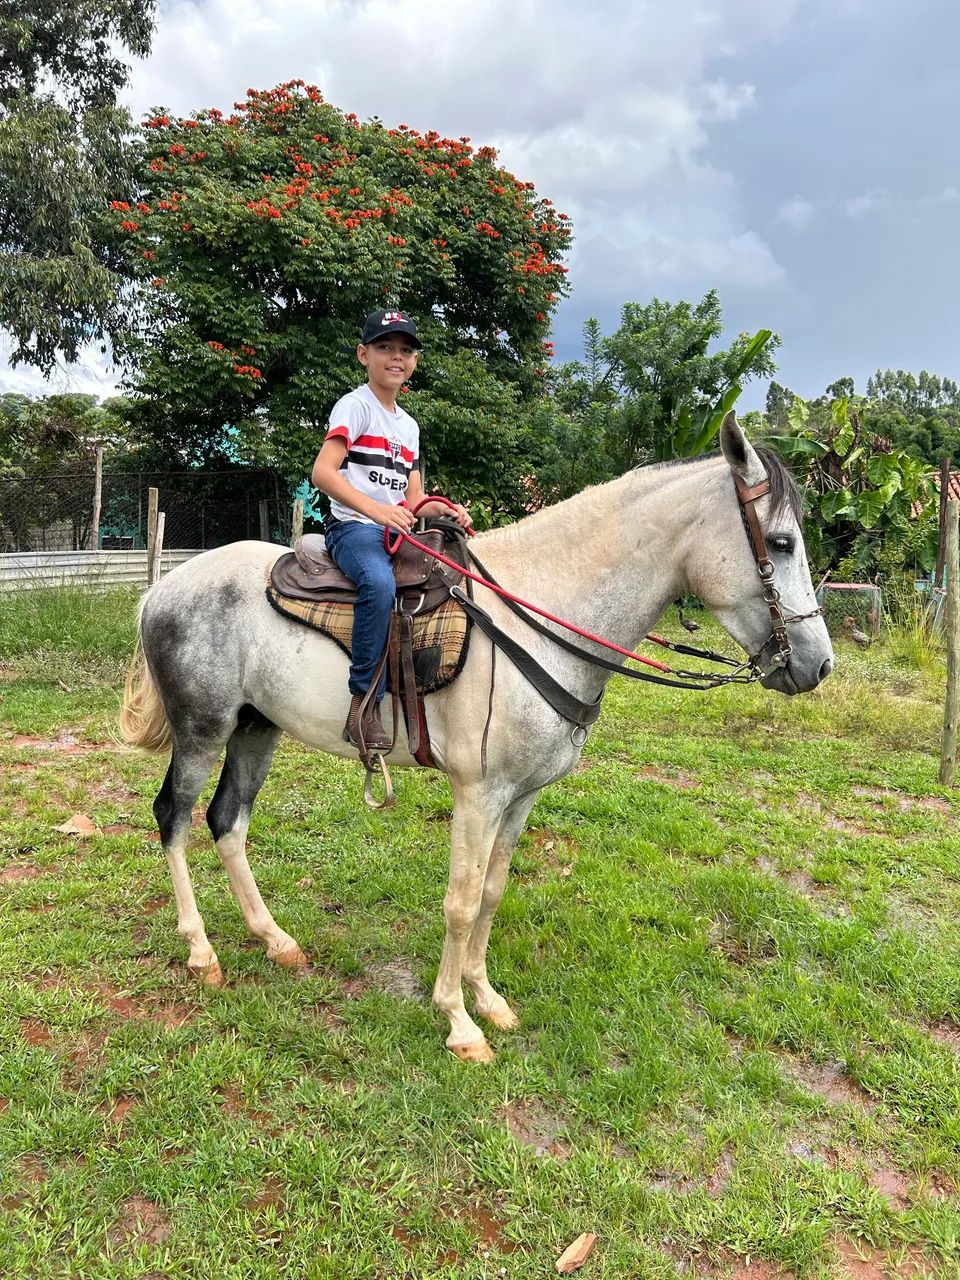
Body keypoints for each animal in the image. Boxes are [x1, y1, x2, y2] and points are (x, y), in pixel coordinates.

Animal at [120, 413, 833, 1062]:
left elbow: (491, 891)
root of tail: (163, 589)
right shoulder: (478, 793)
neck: (541, 615)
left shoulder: (521, 796)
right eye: (780, 542)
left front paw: (486, 998)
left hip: (255, 727)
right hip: (202, 728)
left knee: (227, 820)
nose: (819, 665)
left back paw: (275, 940)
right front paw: (459, 1022)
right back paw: (201, 950)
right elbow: (460, 903)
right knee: (174, 816)